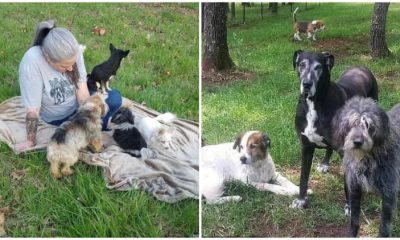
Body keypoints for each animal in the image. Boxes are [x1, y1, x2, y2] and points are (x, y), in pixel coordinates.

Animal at [290, 50, 378, 208]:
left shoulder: (345, 151)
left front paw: (350, 207)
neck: (315, 103)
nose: (306, 84)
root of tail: (362, 67)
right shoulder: (306, 147)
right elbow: (303, 177)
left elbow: (348, 183)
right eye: (301, 64)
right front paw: (301, 200)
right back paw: (325, 164)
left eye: (319, 67)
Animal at [332, 96, 400, 237]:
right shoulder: (355, 188)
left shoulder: (388, 192)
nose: (357, 142)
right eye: (351, 124)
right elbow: (354, 219)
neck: (367, 158)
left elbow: (385, 224)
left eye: (368, 125)